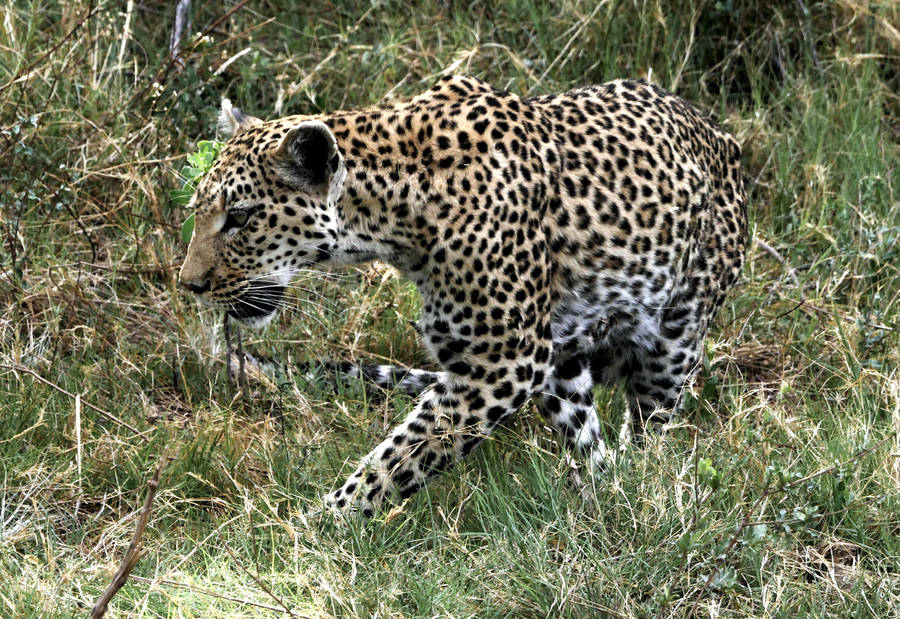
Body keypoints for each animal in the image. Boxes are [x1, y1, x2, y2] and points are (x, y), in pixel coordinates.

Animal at [178, 75, 747, 519]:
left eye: (241, 218)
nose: (189, 285)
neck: (392, 216)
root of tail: (721, 135)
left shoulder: (503, 362)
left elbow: (399, 458)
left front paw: (319, 529)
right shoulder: (508, 359)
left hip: (673, 340)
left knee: (651, 435)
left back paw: (637, 490)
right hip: (562, 362)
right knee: (589, 443)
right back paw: (594, 497)